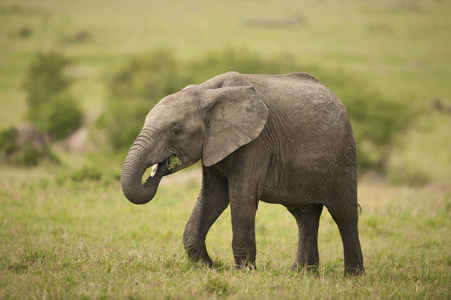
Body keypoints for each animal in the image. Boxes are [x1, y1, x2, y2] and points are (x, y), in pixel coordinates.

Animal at [122, 71, 366, 276]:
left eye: (176, 130)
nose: (159, 168)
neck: (207, 92)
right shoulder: (215, 144)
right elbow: (212, 197)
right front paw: (209, 268)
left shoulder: (257, 141)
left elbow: (241, 196)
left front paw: (245, 273)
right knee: (305, 217)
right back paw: (301, 274)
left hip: (343, 155)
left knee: (344, 215)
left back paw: (352, 277)